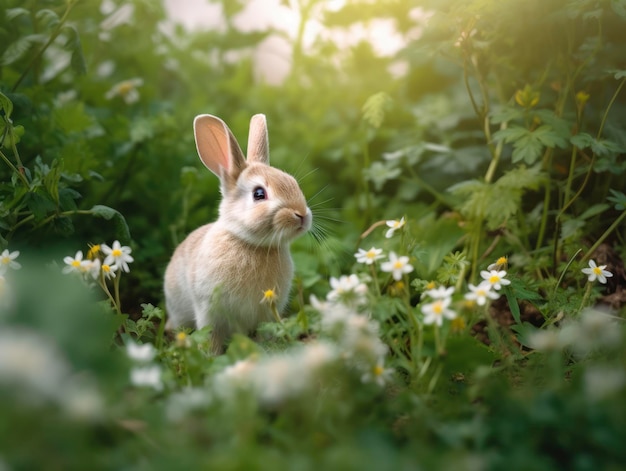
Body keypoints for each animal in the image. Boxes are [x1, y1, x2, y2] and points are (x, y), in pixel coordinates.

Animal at [163, 114, 312, 354]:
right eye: (259, 194)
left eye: (293, 182)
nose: (301, 215)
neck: (251, 244)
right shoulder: (210, 311)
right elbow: (212, 337)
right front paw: (211, 357)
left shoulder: (267, 313)